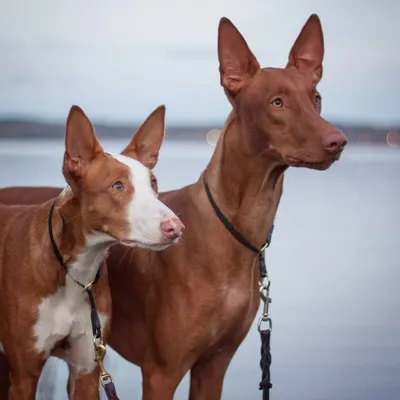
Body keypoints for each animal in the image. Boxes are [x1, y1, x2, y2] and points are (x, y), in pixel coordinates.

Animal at [0, 104, 184, 398]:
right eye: (117, 186)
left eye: (153, 183)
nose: (176, 228)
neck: (74, 271)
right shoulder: (23, 377)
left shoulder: (86, 368)